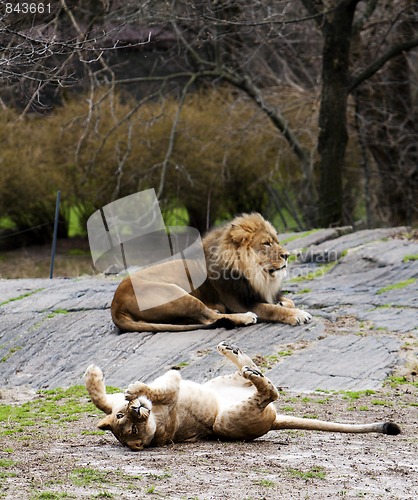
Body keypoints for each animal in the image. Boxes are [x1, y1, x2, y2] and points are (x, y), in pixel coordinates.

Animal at [83, 342, 400, 452]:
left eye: (123, 417)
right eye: (132, 431)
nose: (136, 410)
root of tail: (274, 421)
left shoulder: (117, 401)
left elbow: (100, 398)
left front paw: (93, 372)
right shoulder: (171, 396)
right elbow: (166, 383)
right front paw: (137, 389)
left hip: (220, 382)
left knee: (252, 371)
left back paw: (231, 350)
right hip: (224, 422)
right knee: (269, 391)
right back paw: (251, 372)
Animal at [109, 212, 312, 332]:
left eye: (276, 240)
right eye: (266, 243)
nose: (287, 255)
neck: (257, 274)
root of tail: (115, 306)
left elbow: (287, 301)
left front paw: (284, 303)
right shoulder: (239, 303)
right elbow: (272, 309)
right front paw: (297, 314)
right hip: (176, 294)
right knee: (210, 317)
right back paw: (245, 318)